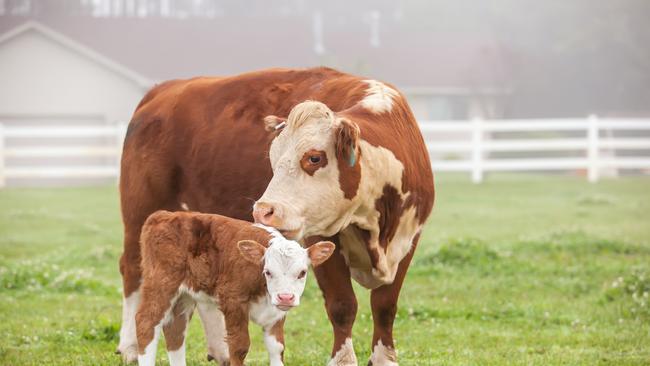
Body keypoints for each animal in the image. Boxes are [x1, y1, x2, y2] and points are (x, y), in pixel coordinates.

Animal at [133, 209, 334, 366]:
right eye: (268, 272)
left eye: (302, 272)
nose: (285, 297)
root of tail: (163, 215)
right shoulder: (233, 301)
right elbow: (239, 347)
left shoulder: (276, 312)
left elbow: (277, 347)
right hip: (161, 283)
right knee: (146, 322)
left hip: (185, 295)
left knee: (175, 330)